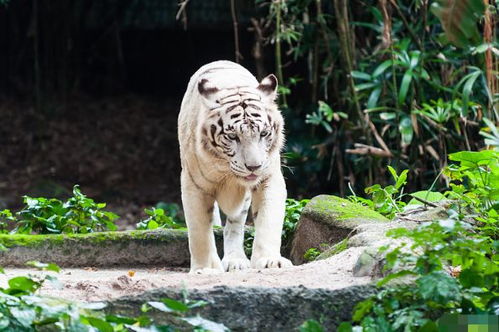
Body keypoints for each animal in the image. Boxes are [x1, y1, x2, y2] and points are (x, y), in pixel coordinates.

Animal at [179, 61, 292, 274]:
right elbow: (199, 232)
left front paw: (270, 261)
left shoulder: (269, 177)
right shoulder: (194, 186)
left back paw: (235, 260)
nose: (254, 167)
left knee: (234, 225)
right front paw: (204, 268)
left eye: (263, 133)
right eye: (232, 136)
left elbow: (268, 219)